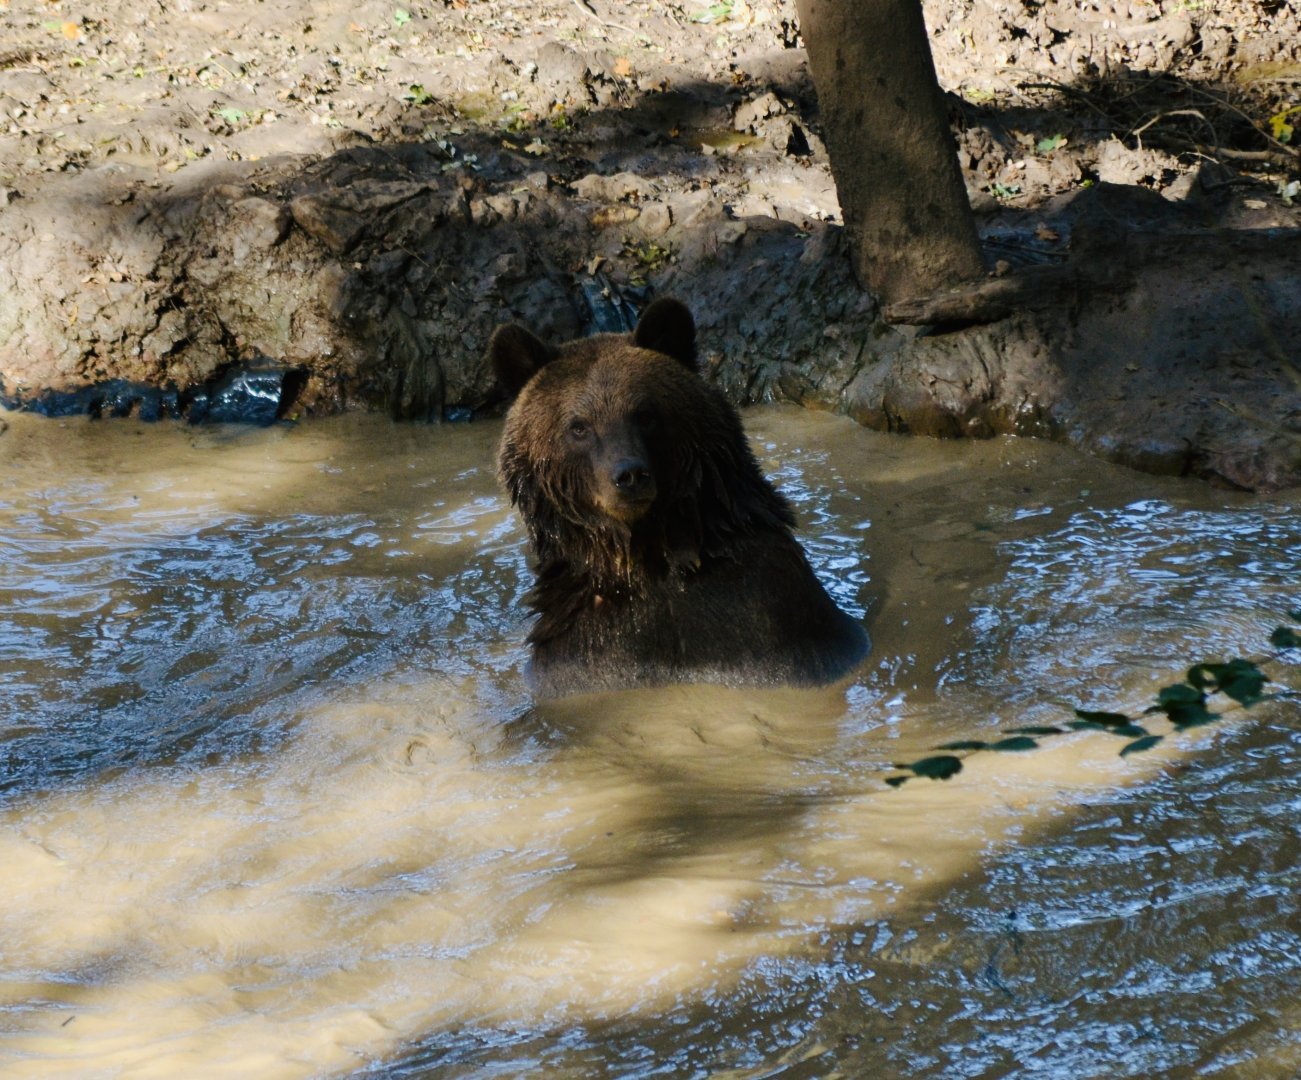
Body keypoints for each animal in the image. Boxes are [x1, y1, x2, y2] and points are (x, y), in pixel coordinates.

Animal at [489, 296, 869, 697]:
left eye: (644, 414)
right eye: (579, 427)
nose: (629, 475)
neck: (644, 555)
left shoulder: (766, 617)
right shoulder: (582, 646)